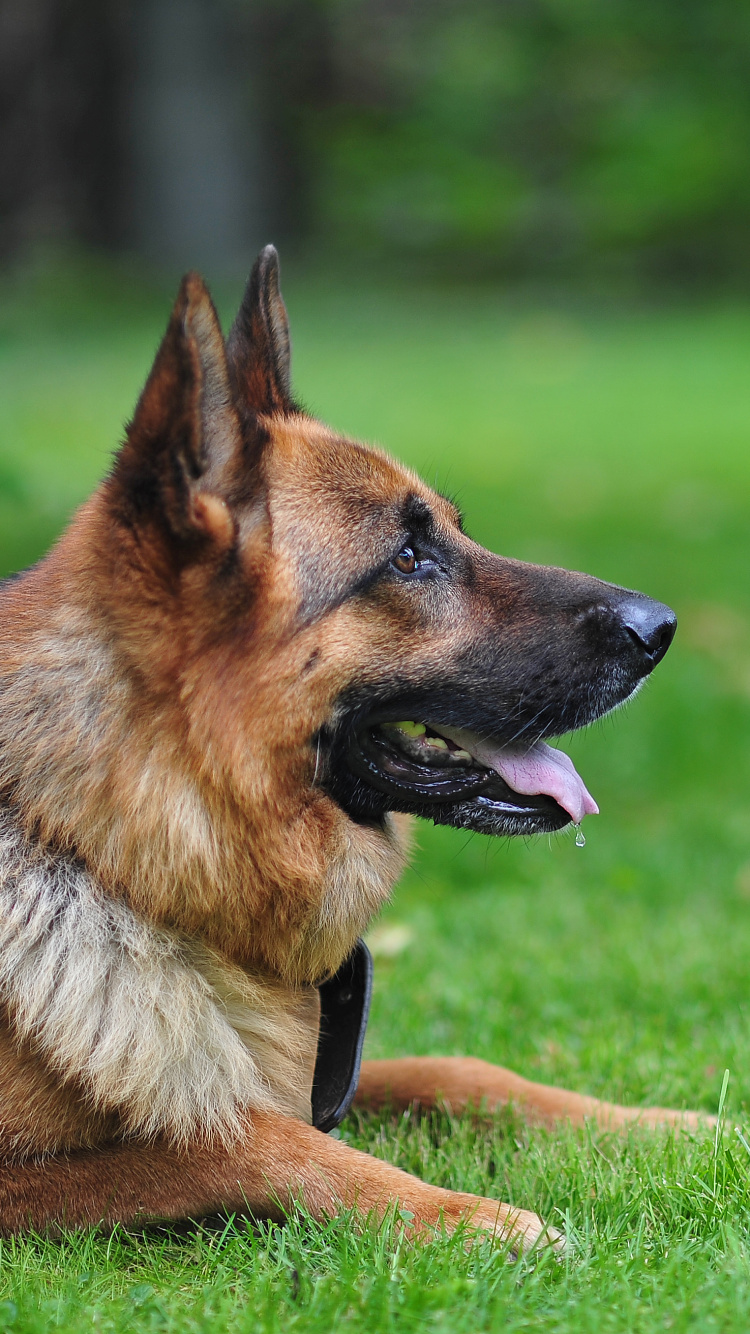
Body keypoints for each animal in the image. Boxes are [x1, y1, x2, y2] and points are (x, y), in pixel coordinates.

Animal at [0, 248, 699, 1248]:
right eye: (406, 559)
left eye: (450, 530)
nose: (662, 629)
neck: (111, 849)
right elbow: (236, 1137)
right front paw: (472, 1216)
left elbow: (456, 1068)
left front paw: (664, 1123)